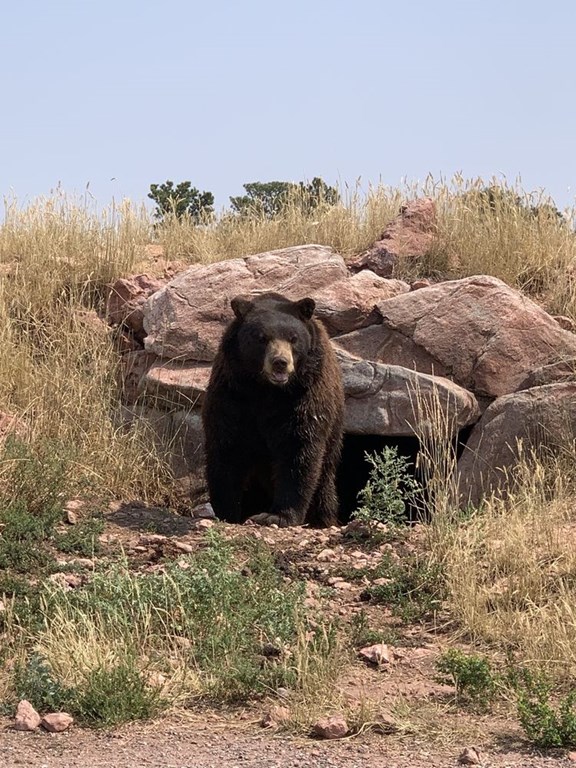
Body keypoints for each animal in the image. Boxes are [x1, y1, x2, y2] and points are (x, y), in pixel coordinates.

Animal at [202, 292, 345, 528]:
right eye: (261, 338)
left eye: (293, 338)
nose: (280, 362)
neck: (267, 390)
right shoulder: (232, 394)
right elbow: (226, 447)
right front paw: (227, 511)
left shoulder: (302, 396)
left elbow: (298, 450)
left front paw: (277, 516)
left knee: (324, 486)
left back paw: (323, 519)